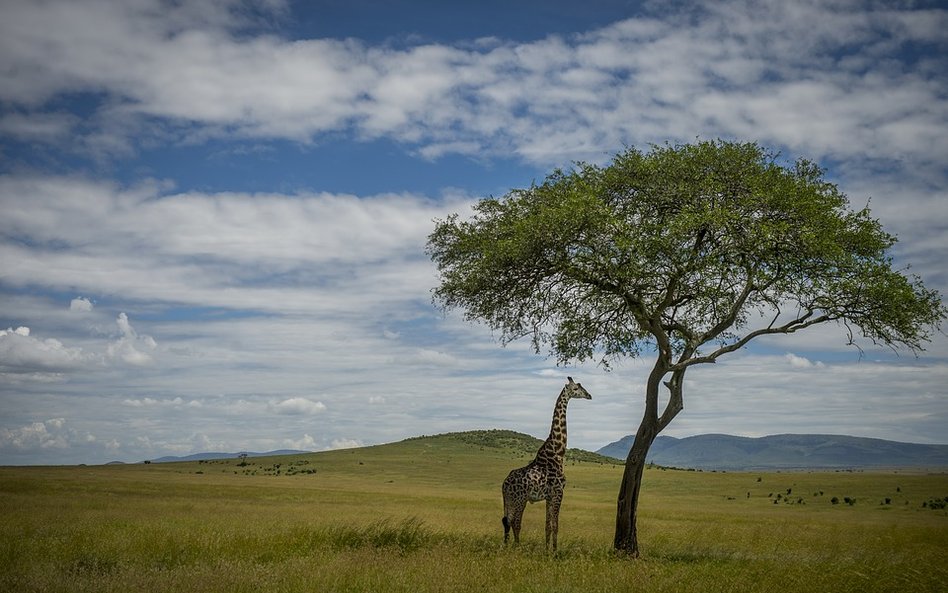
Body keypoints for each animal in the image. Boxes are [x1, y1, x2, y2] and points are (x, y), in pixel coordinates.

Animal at [500, 376, 588, 548]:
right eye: (576, 388)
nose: (589, 395)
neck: (557, 452)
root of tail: (504, 484)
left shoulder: (549, 496)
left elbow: (547, 525)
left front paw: (547, 549)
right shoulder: (558, 492)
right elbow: (556, 525)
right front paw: (555, 550)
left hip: (509, 500)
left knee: (506, 521)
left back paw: (506, 546)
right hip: (520, 499)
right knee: (516, 523)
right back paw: (517, 547)